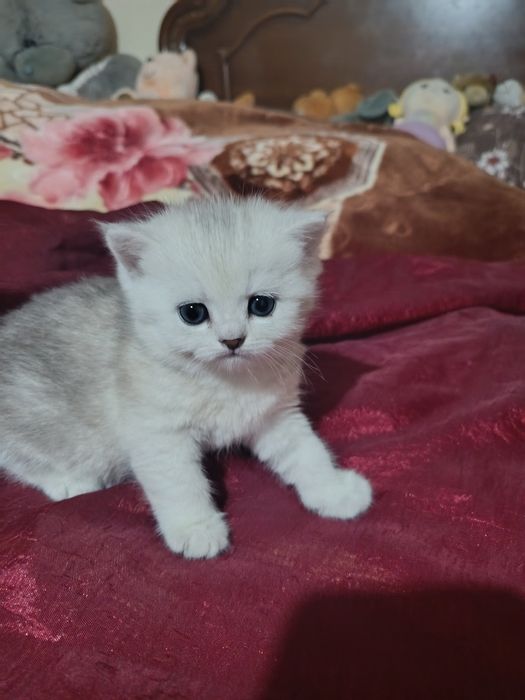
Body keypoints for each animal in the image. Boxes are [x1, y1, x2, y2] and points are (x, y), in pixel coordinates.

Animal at [0, 197, 372, 558]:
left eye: (261, 305)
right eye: (193, 313)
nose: (232, 340)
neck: (224, 382)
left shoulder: (276, 416)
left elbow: (307, 453)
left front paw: (332, 491)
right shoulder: (157, 432)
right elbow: (179, 483)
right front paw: (196, 529)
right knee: (19, 456)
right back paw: (70, 481)